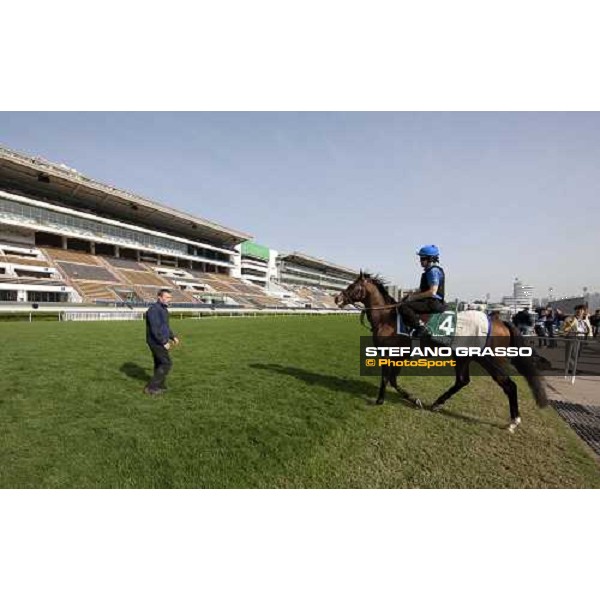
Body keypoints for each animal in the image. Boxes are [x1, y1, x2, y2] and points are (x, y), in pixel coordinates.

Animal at [332, 272, 548, 432]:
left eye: (353, 286)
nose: (336, 297)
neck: (387, 318)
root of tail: (499, 321)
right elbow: (391, 379)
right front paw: (410, 399)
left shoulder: (393, 354)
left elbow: (389, 378)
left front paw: (385, 399)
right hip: (463, 357)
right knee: (462, 381)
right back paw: (437, 403)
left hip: (489, 360)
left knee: (509, 385)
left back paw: (513, 421)